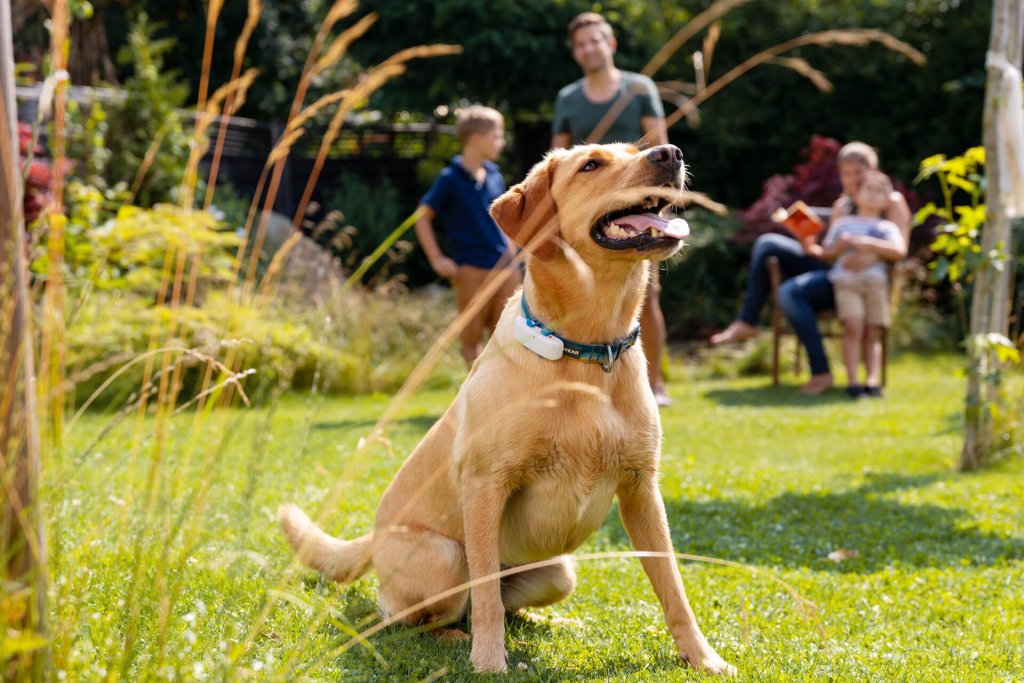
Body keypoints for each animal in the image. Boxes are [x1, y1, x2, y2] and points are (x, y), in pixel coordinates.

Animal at [280, 141, 737, 675]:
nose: (670, 153)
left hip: (559, 571)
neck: (588, 352)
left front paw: (703, 658)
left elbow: (674, 589)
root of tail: (372, 538)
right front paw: (488, 662)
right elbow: (485, 598)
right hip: (445, 557)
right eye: (591, 165)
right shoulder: (485, 484)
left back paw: (549, 622)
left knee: (505, 600)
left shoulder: (642, 489)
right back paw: (452, 637)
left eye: (635, 149)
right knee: (406, 613)